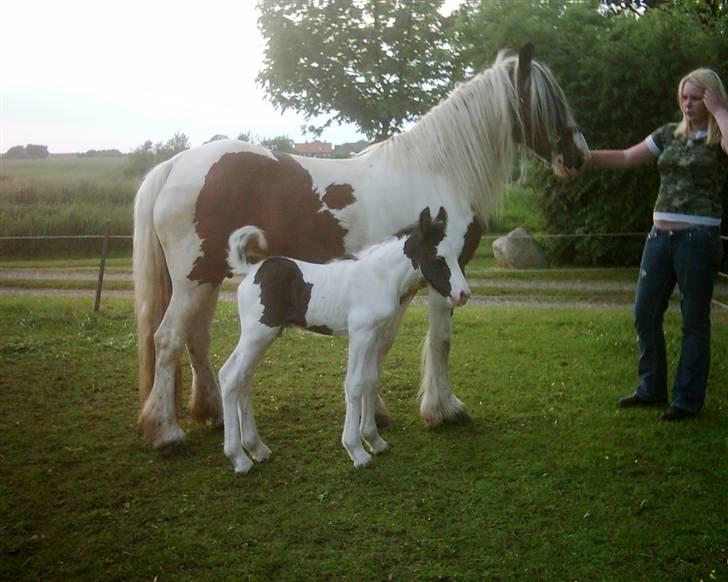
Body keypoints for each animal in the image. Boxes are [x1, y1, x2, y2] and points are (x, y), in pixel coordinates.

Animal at [219, 208, 470, 472]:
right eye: (438, 258)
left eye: (456, 255)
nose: (463, 295)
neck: (380, 277)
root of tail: (251, 271)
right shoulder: (360, 333)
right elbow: (355, 384)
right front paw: (356, 451)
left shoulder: (374, 335)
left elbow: (371, 380)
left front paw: (374, 440)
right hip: (257, 334)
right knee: (230, 377)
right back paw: (239, 458)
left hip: (263, 337)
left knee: (244, 379)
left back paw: (257, 448)